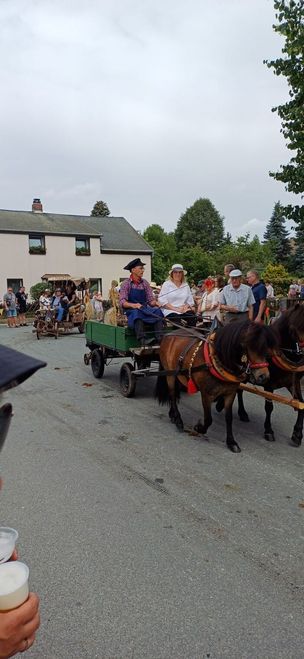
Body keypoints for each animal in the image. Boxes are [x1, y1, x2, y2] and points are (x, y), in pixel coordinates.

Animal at [156, 320, 276, 454]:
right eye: (248, 346)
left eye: (265, 348)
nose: (263, 376)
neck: (216, 360)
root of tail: (168, 334)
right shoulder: (206, 394)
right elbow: (208, 419)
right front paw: (199, 428)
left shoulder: (230, 393)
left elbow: (228, 418)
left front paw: (231, 442)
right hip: (169, 375)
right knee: (172, 394)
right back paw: (178, 419)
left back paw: (172, 414)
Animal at [238, 304, 304, 448]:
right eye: (293, 329)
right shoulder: (269, 383)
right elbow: (269, 407)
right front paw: (268, 431)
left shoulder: (293, 382)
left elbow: (300, 404)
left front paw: (297, 434)